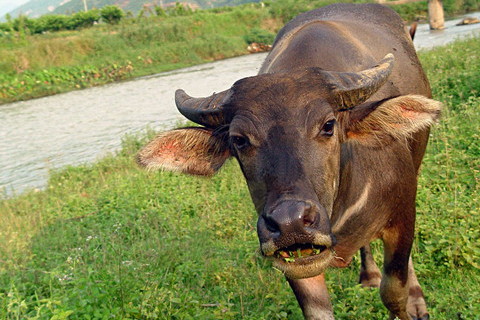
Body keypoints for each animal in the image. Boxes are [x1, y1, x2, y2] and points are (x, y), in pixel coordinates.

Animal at [137, 3, 440, 320]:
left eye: (328, 125)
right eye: (239, 140)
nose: (290, 223)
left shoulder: (403, 217)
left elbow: (394, 292)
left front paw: (412, 300)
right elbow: (317, 311)